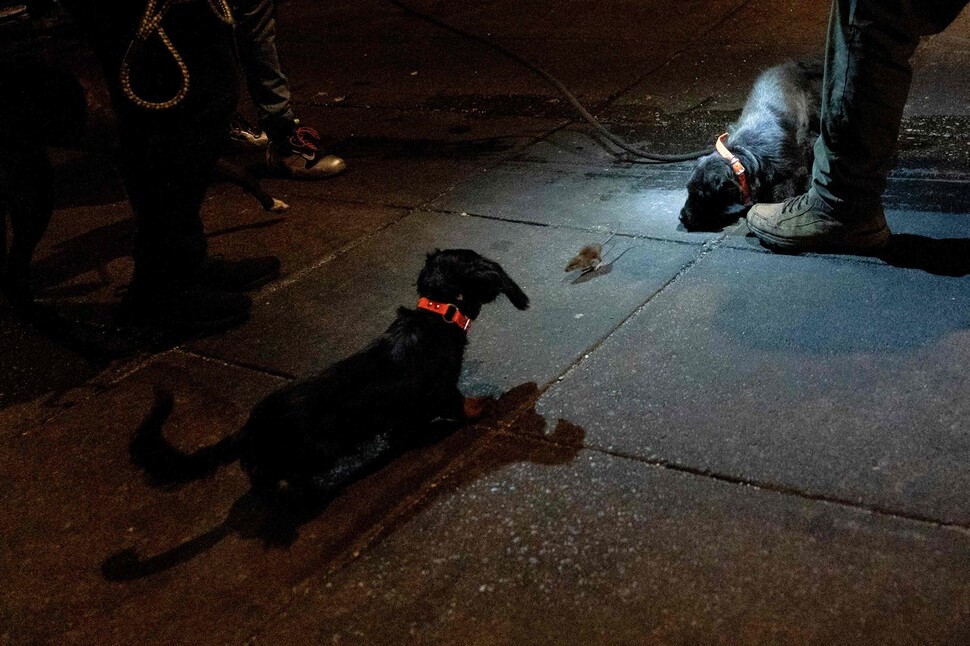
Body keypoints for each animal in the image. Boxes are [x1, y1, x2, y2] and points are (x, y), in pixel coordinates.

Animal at [130, 249, 528, 506]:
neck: (437, 315)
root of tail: (252, 428)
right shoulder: (442, 389)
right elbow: (461, 404)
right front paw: (481, 406)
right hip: (315, 454)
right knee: (278, 478)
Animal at [676, 60, 820, 233]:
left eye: (702, 196)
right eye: (688, 190)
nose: (681, 217)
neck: (745, 153)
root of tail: (794, 65)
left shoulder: (790, 174)